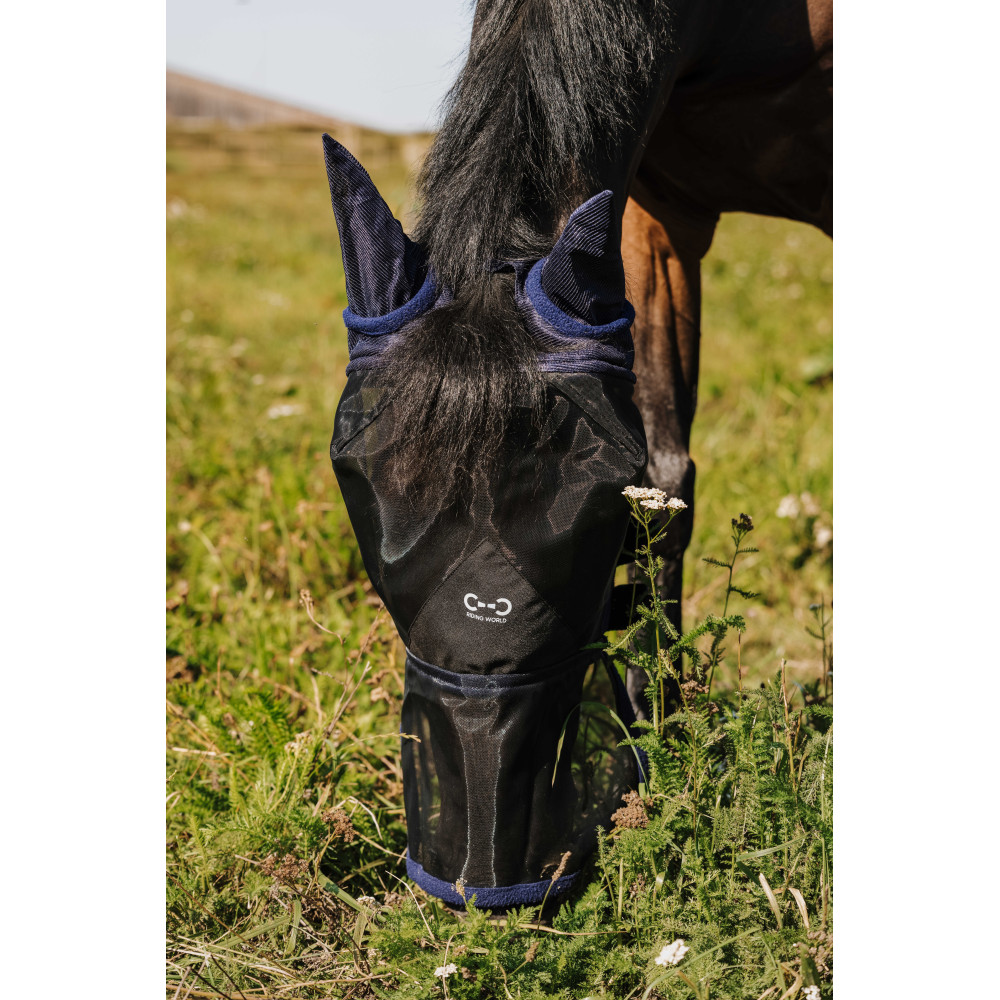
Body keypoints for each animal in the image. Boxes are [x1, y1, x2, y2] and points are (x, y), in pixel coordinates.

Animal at [322, 0, 831, 907]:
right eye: (361, 488)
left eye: (585, 520)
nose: (481, 881)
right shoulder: (655, 217)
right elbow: (669, 483)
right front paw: (662, 732)